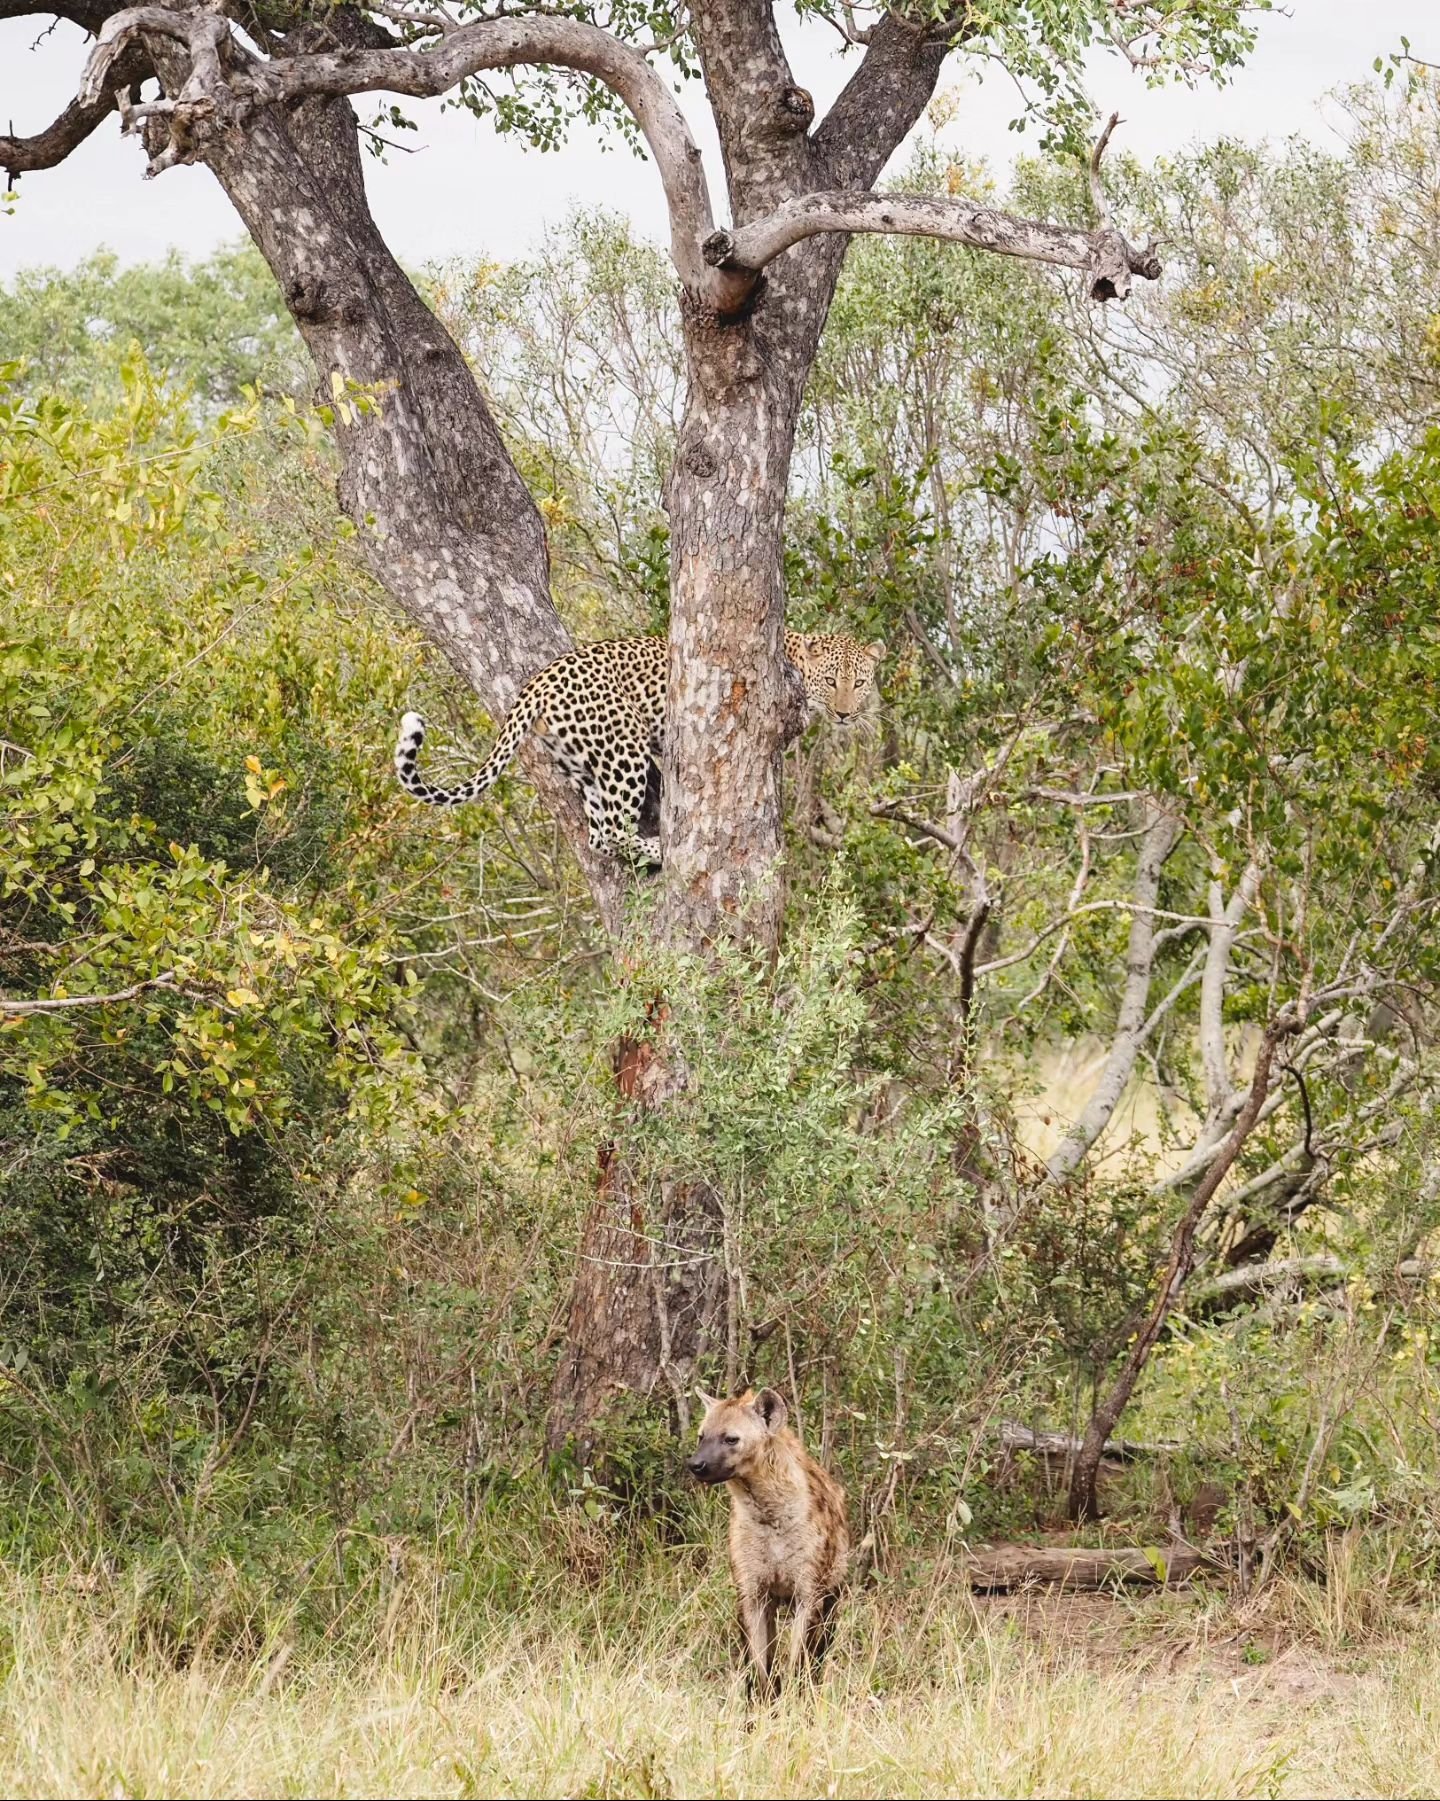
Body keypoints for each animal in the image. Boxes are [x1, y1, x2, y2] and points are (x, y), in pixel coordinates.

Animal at [396, 633, 889, 864]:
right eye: (832, 681)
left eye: (860, 682)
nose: (845, 714)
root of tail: (539, 679)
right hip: (623, 747)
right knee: (614, 829)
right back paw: (660, 850)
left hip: (584, 762)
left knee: (598, 836)